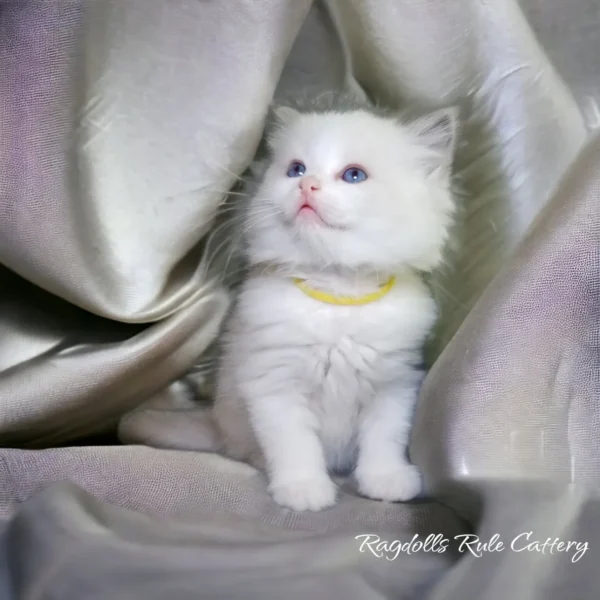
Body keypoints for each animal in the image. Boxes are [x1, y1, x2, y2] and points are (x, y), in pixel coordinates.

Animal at [213, 99, 458, 510]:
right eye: (295, 169)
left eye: (354, 175)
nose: (306, 184)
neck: (338, 294)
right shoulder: (274, 383)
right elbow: (295, 445)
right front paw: (304, 489)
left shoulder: (395, 383)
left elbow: (385, 438)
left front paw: (386, 480)